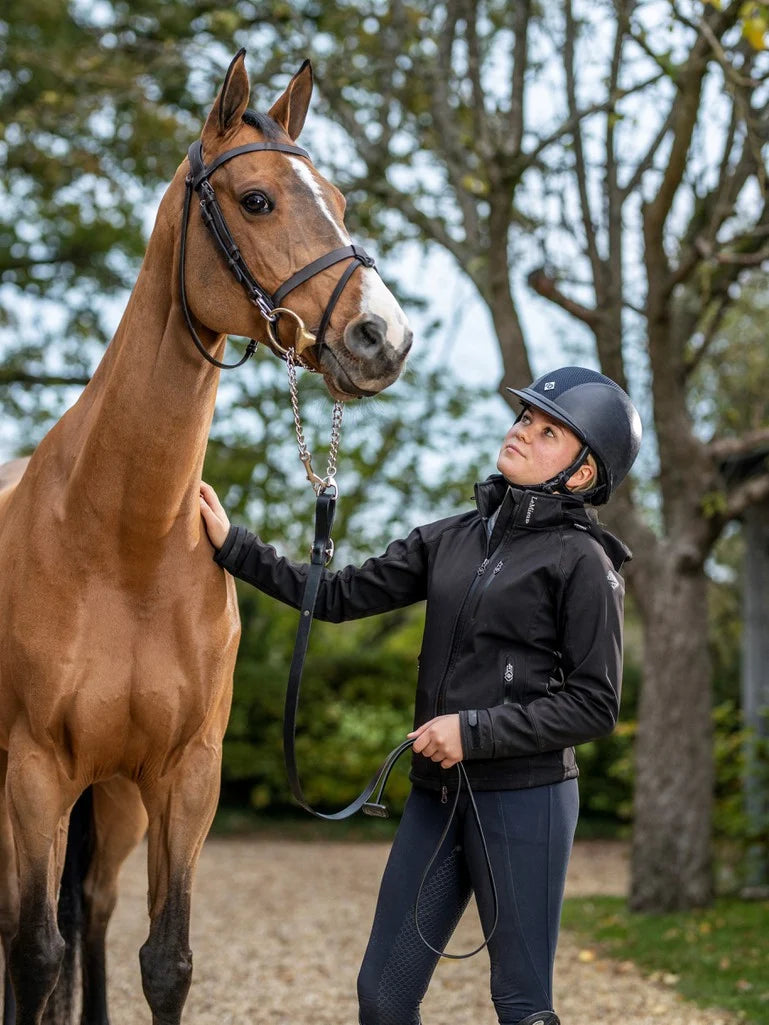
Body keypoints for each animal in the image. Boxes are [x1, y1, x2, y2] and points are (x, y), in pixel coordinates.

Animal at [0, 49, 410, 1025]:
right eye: (256, 199)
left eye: (340, 200)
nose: (383, 336)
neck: (123, 544)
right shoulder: (33, 774)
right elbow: (33, 953)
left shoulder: (184, 779)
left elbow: (165, 960)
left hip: (112, 799)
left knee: (92, 910)